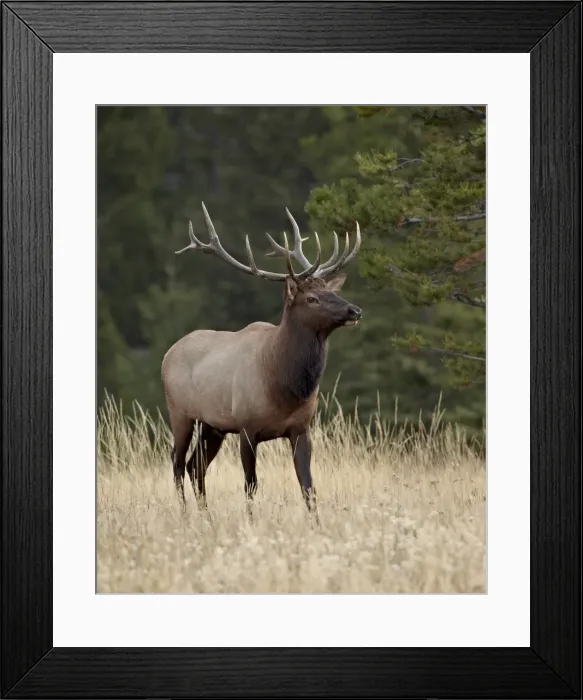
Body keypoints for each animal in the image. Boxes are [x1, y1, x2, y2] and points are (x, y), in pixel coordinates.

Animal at [161, 203, 362, 518]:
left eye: (332, 291)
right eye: (312, 298)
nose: (354, 310)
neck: (285, 386)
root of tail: (168, 354)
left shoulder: (300, 428)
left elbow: (308, 485)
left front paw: (315, 523)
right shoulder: (247, 427)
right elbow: (251, 484)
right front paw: (251, 521)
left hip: (212, 426)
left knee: (196, 466)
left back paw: (207, 516)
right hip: (180, 412)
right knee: (178, 462)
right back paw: (185, 515)